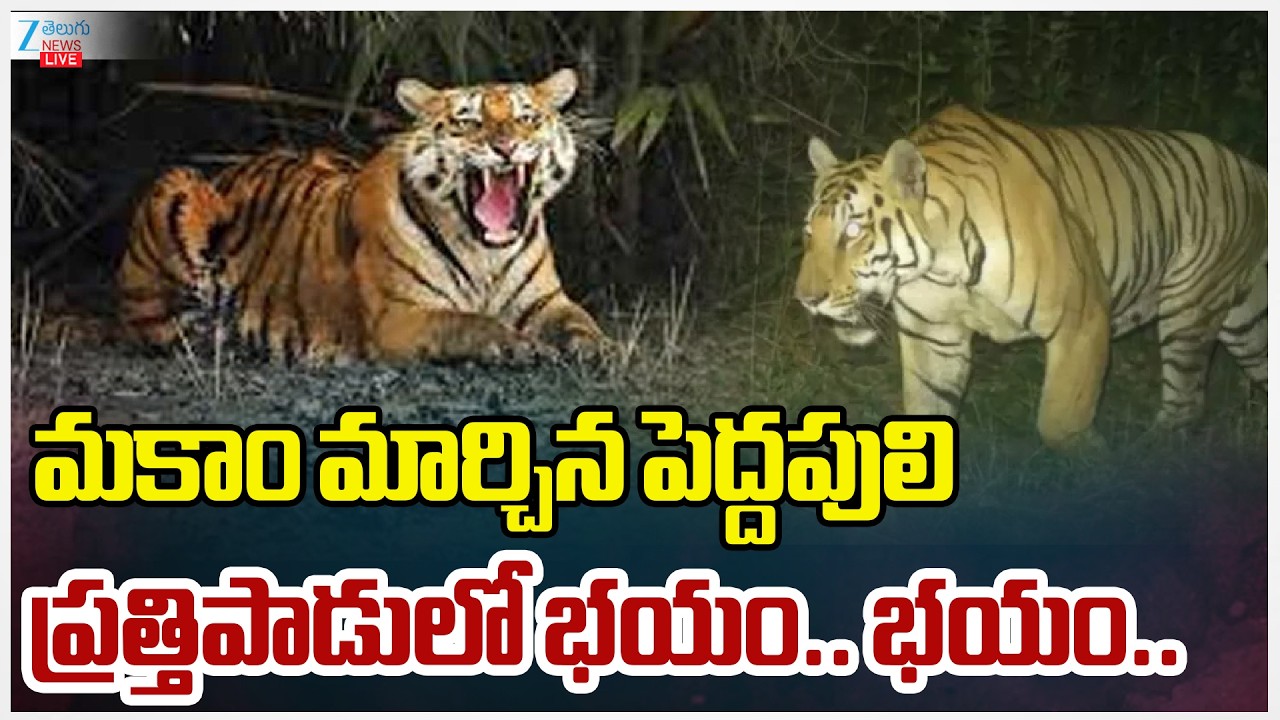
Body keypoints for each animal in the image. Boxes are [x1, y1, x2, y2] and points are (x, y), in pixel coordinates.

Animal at [117, 68, 606, 365]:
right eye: (468, 122)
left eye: (528, 118)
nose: (505, 146)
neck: (485, 250)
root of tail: (234, 166)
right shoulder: (400, 315)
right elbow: (470, 323)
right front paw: (520, 347)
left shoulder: (547, 302)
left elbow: (582, 322)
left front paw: (605, 351)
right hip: (178, 186)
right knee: (160, 326)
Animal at [795, 105, 1267, 451]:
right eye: (809, 233)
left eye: (852, 231)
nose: (806, 300)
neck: (942, 266)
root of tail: (1248, 165)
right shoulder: (934, 335)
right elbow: (927, 410)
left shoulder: (1082, 320)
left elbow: (1060, 420)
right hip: (1243, 319)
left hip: (1190, 310)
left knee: (1186, 401)